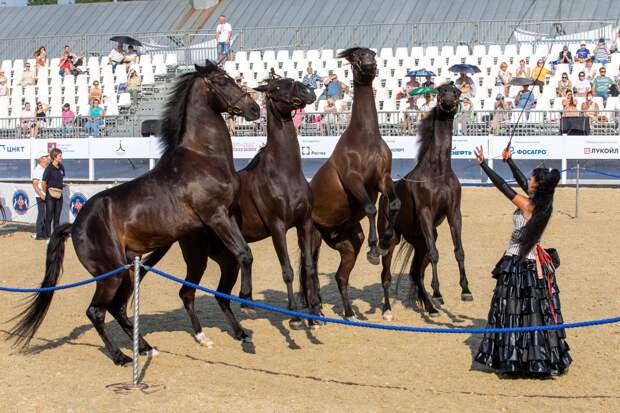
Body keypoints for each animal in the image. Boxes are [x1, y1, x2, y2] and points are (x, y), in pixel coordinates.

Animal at [10, 61, 262, 364]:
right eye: (222, 81)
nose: (254, 109)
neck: (202, 158)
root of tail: (76, 224)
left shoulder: (222, 217)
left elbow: (239, 253)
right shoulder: (216, 215)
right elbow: (244, 253)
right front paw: (247, 300)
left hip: (128, 271)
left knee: (118, 309)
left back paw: (146, 347)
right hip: (111, 275)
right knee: (97, 311)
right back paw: (121, 356)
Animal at [142, 75, 322, 344]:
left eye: (293, 80)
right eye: (276, 87)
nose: (308, 92)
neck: (284, 173)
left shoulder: (305, 223)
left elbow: (309, 268)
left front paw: (314, 315)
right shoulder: (277, 227)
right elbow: (288, 270)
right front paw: (295, 317)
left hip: (228, 260)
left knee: (220, 294)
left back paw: (240, 333)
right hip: (197, 258)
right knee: (187, 293)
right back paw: (203, 336)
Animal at [300, 47, 402, 318]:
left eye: (372, 54)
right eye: (356, 56)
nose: (369, 66)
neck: (364, 138)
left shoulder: (382, 178)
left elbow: (394, 204)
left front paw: (385, 240)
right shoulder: (354, 181)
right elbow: (371, 208)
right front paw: (375, 250)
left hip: (348, 244)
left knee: (340, 277)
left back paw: (348, 312)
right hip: (312, 238)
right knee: (308, 271)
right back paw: (312, 312)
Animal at [378, 82, 474, 318]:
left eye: (456, 91)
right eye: (441, 90)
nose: (448, 100)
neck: (437, 172)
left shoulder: (454, 213)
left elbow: (459, 251)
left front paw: (465, 290)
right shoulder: (425, 214)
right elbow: (436, 254)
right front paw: (438, 293)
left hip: (420, 240)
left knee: (416, 273)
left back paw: (430, 308)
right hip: (391, 240)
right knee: (386, 277)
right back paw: (387, 310)